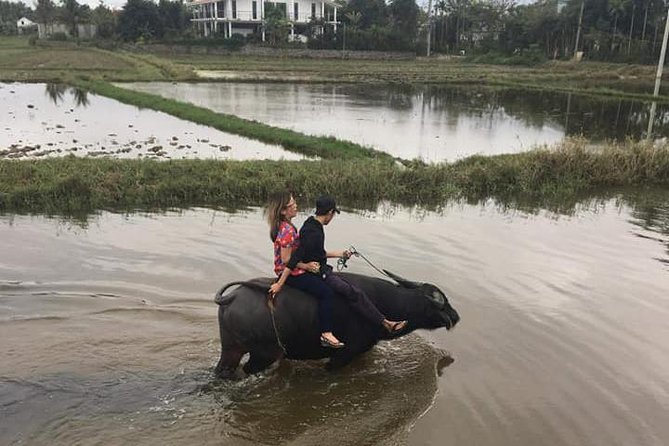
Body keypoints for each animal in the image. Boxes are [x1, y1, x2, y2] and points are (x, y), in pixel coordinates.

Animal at [213, 271, 460, 378]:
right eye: (443, 303)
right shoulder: (343, 355)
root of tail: (231, 298)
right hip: (263, 355)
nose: (456, 316)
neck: (382, 303)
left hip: (231, 348)